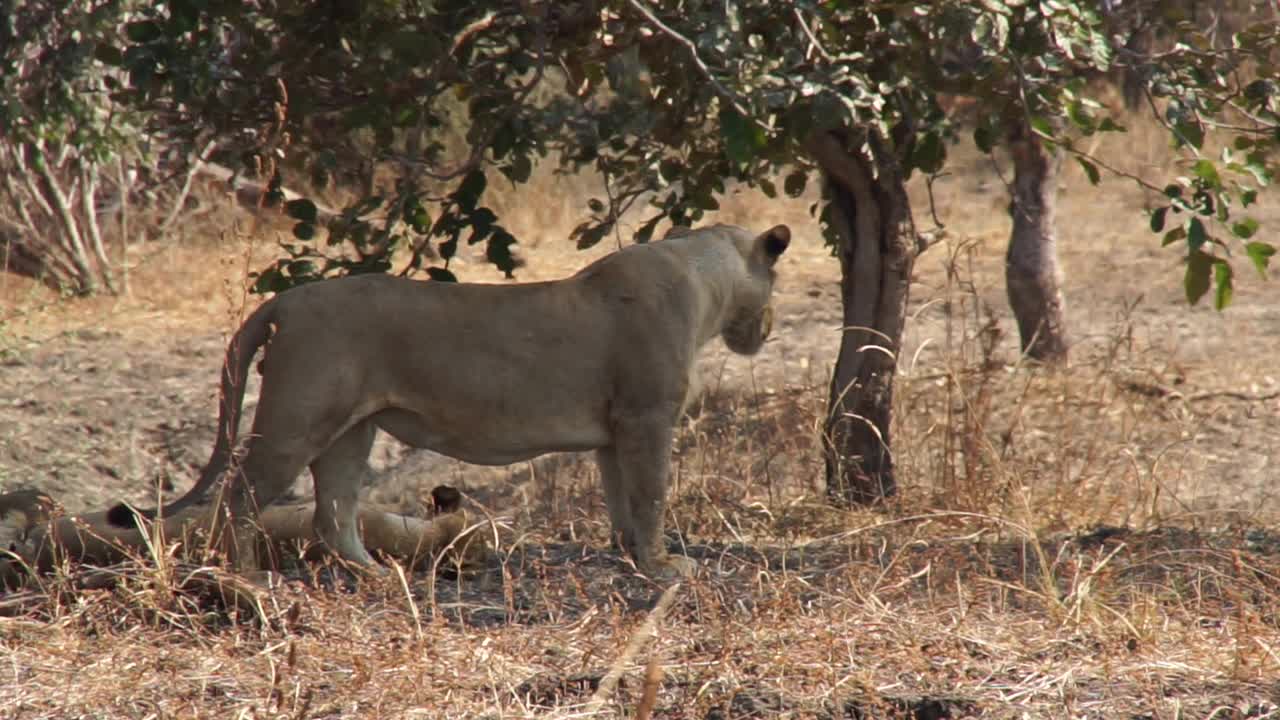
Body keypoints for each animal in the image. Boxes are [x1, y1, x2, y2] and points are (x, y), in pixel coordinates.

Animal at [110, 221, 788, 573]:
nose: (769, 327)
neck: (706, 274)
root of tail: (285, 299)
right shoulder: (647, 417)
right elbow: (650, 497)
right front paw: (666, 568)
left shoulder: (614, 431)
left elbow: (622, 500)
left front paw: (629, 556)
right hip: (295, 420)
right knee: (236, 501)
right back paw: (249, 579)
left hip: (351, 429)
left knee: (333, 513)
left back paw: (378, 578)